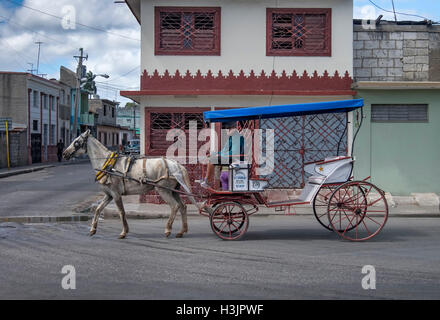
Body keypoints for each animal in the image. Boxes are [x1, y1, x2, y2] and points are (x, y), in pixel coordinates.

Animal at [63, 131, 201, 240]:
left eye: (76, 142)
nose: (64, 153)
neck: (108, 165)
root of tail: (175, 164)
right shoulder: (109, 194)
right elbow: (98, 209)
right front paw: (92, 229)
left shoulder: (116, 194)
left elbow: (121, 212)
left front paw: (124, 232)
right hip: (174, 190)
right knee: (182, 206)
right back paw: (182, 231)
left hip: (163, 190)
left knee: (174, 206)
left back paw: (168, 230)